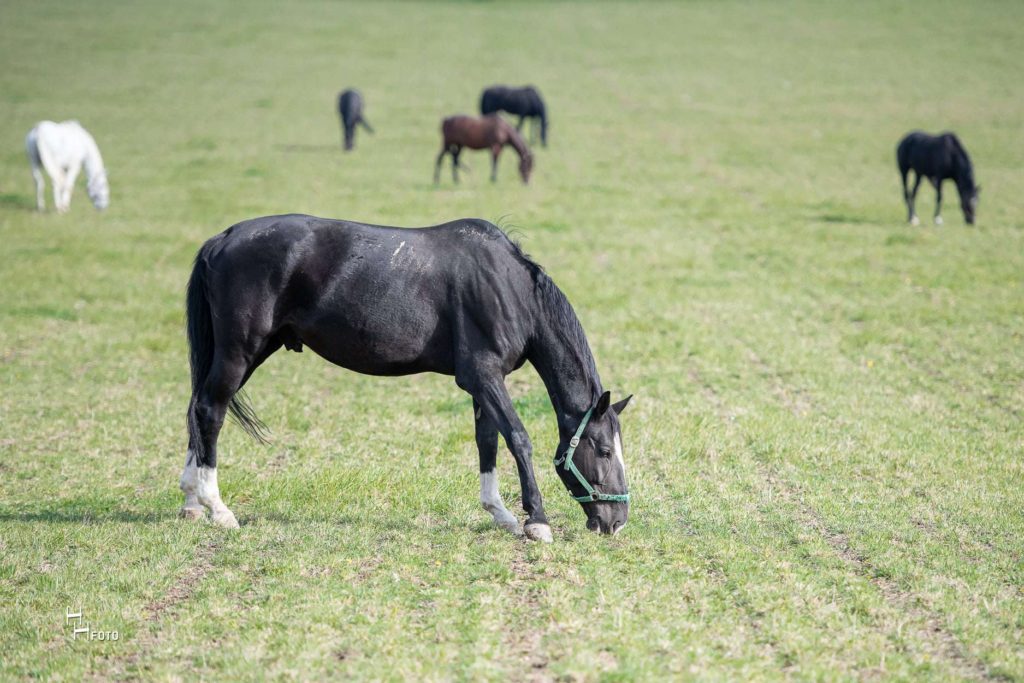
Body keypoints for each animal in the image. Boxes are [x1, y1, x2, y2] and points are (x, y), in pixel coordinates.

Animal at [182, 215, 630, 544]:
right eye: (605, 451)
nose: (618, 521)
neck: (507, 287)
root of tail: (222, 239)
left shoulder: (483, 382)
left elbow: (486, 441)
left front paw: (499, 512)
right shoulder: (484, 377)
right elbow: (518, 438)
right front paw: (537, 521)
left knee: (198, 408)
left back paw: (191, 501)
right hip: (241, 351)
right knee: (210, 410)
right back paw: (217, 507)